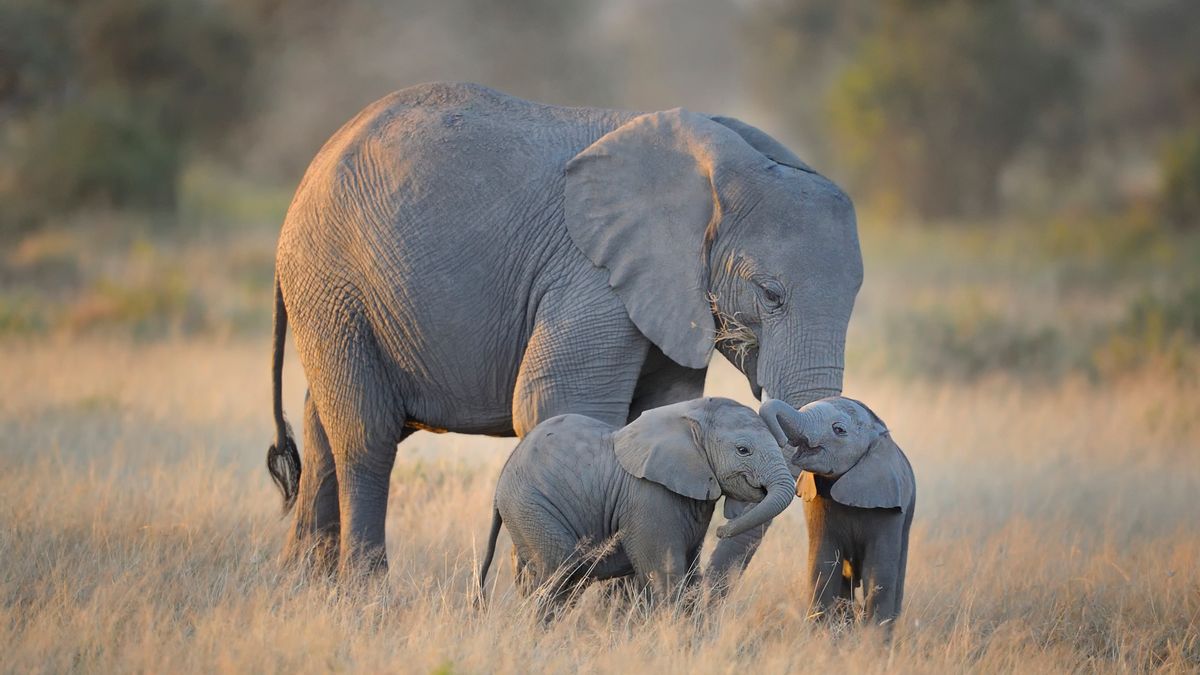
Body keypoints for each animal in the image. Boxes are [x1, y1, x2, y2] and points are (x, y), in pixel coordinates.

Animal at [262, 81, 864, 576]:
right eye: (771, 295)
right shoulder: (590, 274)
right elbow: (558, 402)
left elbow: (659, 410)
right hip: (332, 281)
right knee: (365, 436)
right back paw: (366, 592)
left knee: (322, 430)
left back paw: (303, 587)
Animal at [477, 393, 796, 610]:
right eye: (743, 450)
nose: (722, 530)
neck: (689, 415)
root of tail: (502, 479)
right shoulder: (649, 498)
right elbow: (666, 574)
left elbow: (690, 573)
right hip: (531, 506)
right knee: (561, 573)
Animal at [758, 393, 916, 624]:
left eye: (839, 430)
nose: (781, 440)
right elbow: (823, 566)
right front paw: (822, 632)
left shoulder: (889, 507)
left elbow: (879, 572)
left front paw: (873, 635)